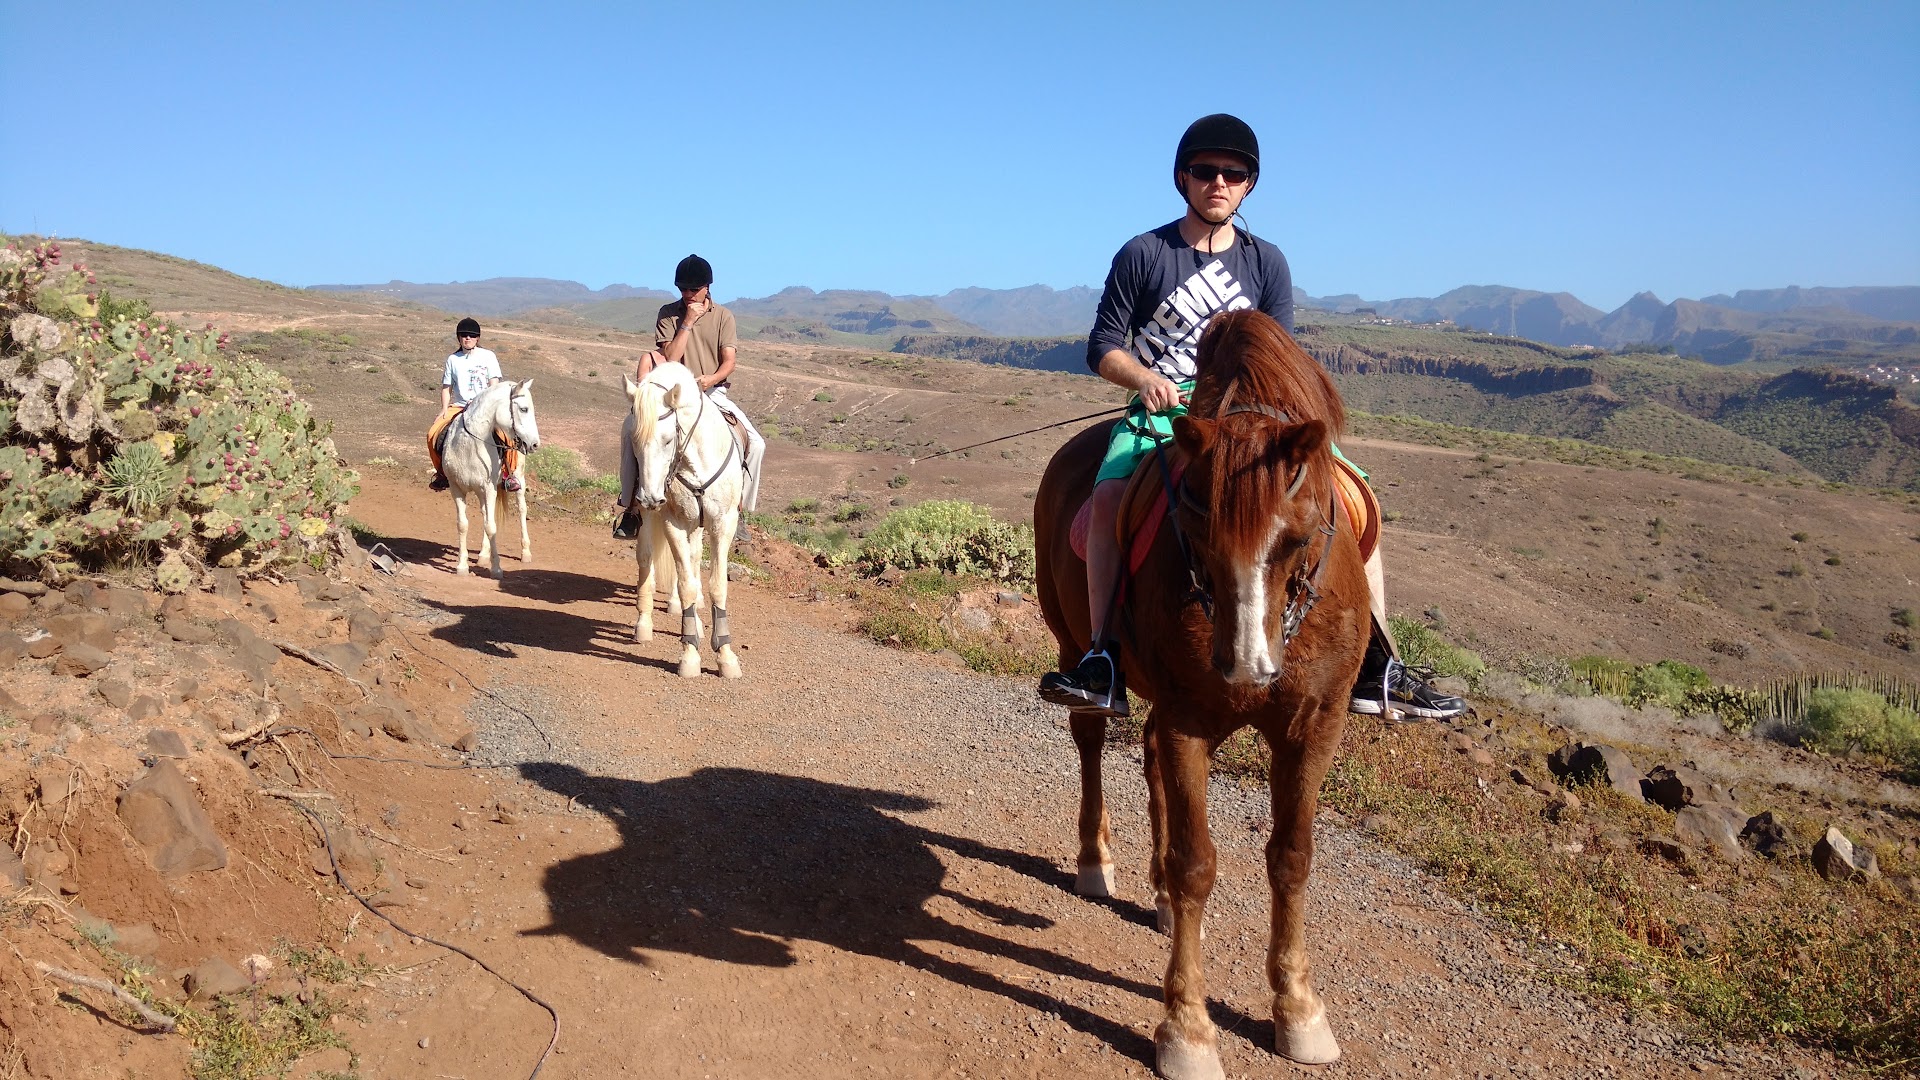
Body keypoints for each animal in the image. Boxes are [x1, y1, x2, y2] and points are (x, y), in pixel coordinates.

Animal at [442, 379, 540, 579]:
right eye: (524, 409)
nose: (535, 444)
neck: (469, 446)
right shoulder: (457, 488)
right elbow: (463, 525)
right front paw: (462, 566)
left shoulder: (489, 489)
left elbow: (491, 527)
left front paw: (496, 569)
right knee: (486, 515)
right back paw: (483, 555)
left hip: (518, 480)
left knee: (521, 510)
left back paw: (525, 553)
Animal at [624, 363, 745, 679]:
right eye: (634, 441)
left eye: (668, 439)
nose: (650, 497)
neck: (696, 464)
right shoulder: (673, 523)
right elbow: (686, 585)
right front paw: (690, 654)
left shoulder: (722, 524)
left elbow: (717, 585)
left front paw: (726, 656)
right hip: (651, 522)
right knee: (647, 560)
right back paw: (644, 624)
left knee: (692, 560)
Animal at [1034, 310, 1370, 1079]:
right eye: (1191, 523)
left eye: (1298, 536)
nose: (1246, 667)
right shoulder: (1191, 717)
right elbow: (1196, 866)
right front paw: (1187, 1029)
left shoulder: (1314, 725)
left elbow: (1292, 857)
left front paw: (1299, 1010)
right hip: (1077, 651)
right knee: (1093, 740)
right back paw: (1096, 862)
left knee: (1151, 760)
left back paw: (1154, 895)